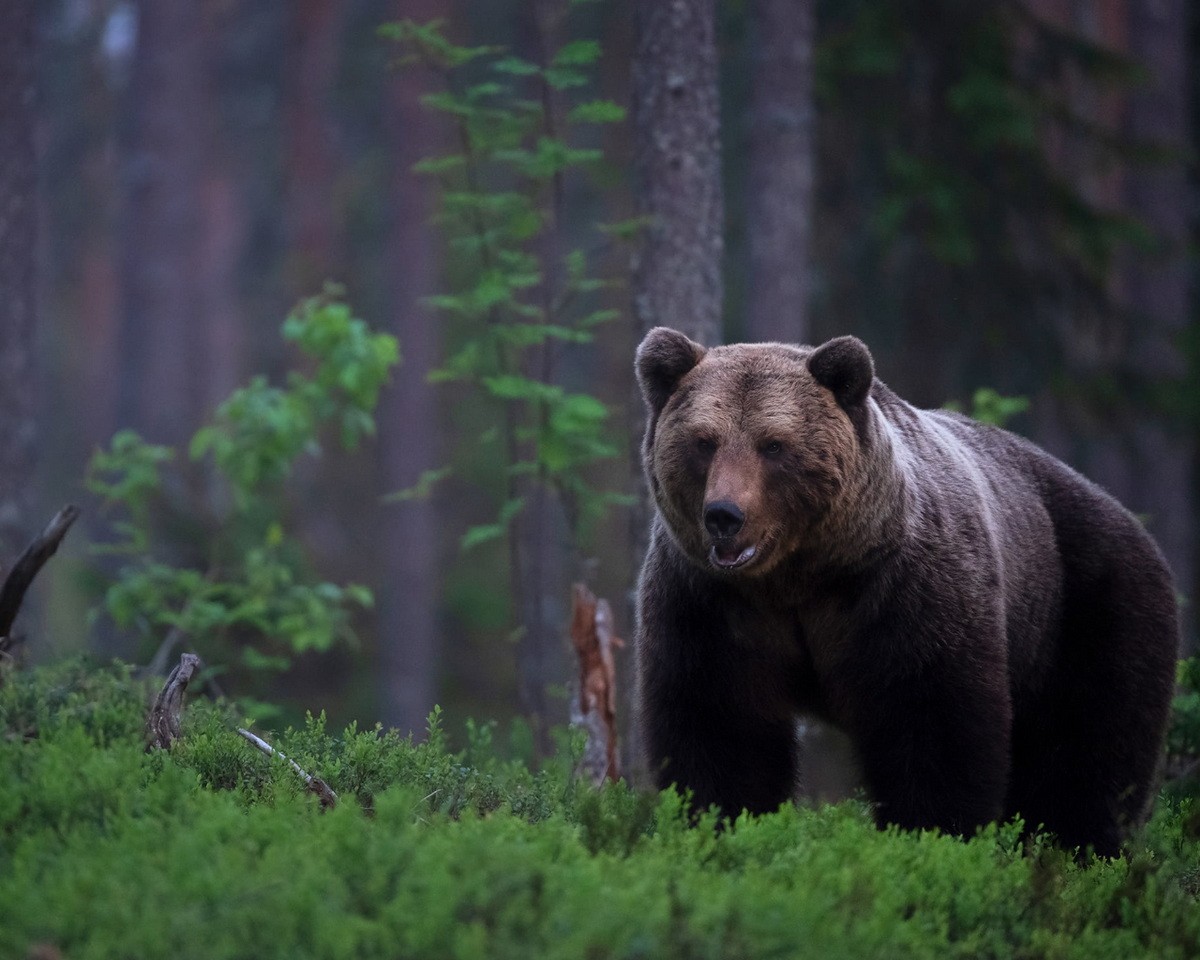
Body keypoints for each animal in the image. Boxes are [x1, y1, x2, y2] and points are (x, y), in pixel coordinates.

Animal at [638, 328, 1180, 854]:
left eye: (773, 445)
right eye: (704, 441)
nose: (724, 515)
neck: (801, 577)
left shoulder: (906, 593)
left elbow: (933, 724)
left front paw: (932, 835)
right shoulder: (712, 604)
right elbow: (720, 727)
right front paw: (719, 822)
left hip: (1088, 604)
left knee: (1090, 749)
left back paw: (1080, 847)